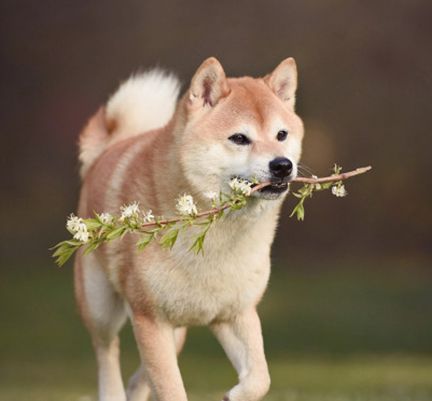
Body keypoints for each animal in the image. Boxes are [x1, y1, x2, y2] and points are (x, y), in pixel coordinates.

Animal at [74, 57, 304, 400]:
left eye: (281, 134)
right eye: (239, 138)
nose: (282, 165)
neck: (218, 235)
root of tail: (107, 149)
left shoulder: (236, 313)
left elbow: (261, 378)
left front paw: (233, 394)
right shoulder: (150, 318)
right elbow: (171, 388)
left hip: (176, 329)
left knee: (139, 377)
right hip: (101, 305)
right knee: (107, 351)